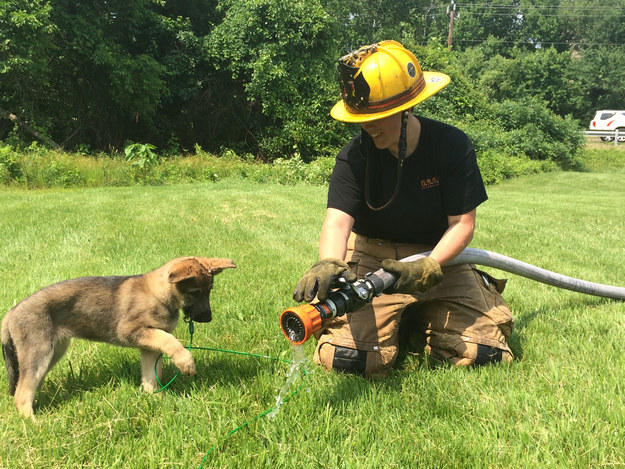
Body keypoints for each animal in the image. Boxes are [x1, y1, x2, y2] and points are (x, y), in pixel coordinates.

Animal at [1, 256, 235, 416]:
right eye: (195, 292)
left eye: (210, 290)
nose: (208, 318)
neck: (158, 294)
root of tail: (11, 313)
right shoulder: (131, 331)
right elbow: (170, 341)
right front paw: (186, 362)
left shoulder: (149, 346)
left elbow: (152, 374)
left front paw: (154, 397)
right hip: (39, 352)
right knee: (21, 394)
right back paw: (35, 424)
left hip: (53, 351)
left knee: (28, 384)